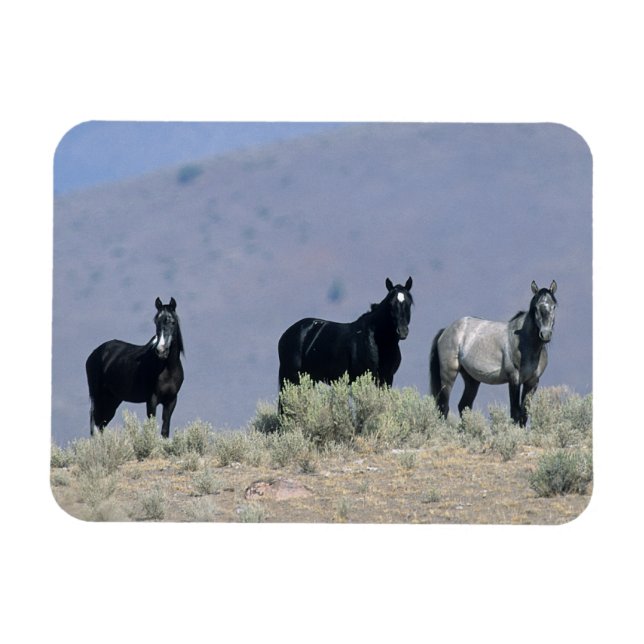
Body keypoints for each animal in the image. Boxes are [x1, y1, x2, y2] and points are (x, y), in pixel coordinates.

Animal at [85, 297, 185, 438]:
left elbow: (165, 431)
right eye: (156, 322)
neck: (167, 368)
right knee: (95, 424)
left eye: (173, 322)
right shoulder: (152, 399)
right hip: (98, 396)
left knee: (101, 424)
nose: (161, 350)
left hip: (112, 399)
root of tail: (95, 353)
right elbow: (152, 428)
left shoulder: (171, 401)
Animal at [278, 277, 414, 406]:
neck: (378, 342)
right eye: (390, 304)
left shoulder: (387, 379)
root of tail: (286, 334)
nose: (402, 331)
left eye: (409, 303)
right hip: (292, 377)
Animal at [429, 280, 557, 426]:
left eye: (553, 306)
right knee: (443, 407)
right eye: (536, 307)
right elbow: (515, 413)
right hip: (448, 375)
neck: (525, 343)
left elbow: (524, 415)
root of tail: (446, 330)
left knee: (464, 405)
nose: (545, 334)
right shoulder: (514, 379)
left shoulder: (532, 382)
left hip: (471, 379)